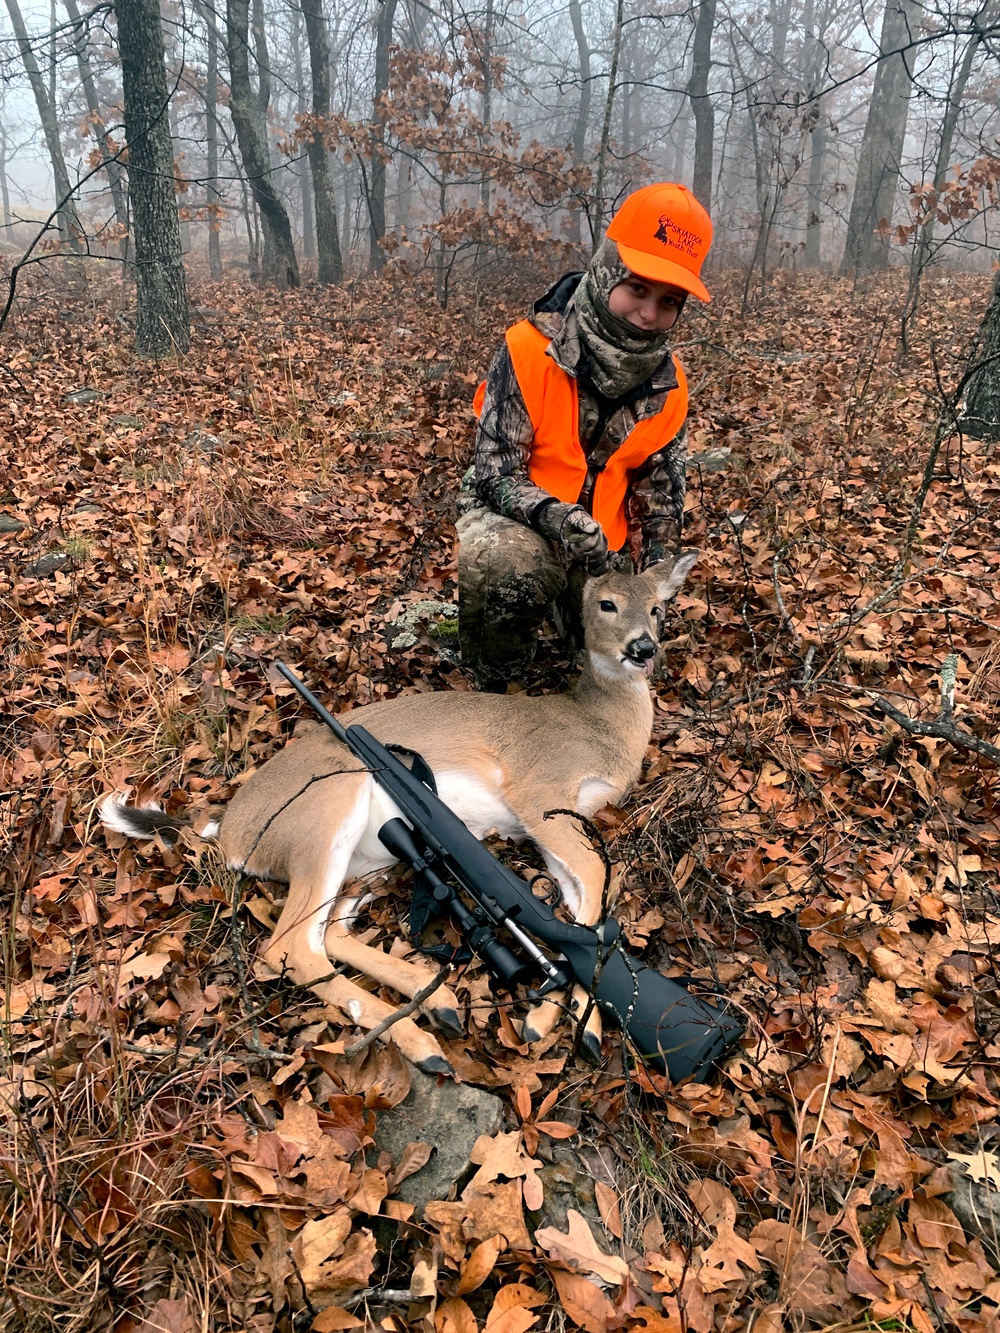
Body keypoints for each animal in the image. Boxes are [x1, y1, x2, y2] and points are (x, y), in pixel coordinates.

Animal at [101, 552, 698, 1076]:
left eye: (658, 607)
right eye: (606, 603)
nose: (643, 648)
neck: (600, 729)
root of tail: (227, 830)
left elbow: (586, 906)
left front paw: (574, 1022)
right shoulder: (541, 790)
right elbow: (592, 890)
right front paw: (556, 1017)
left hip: (376, 856)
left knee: (331, 932)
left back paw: (439, 1003)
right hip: (327, 809)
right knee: (290, 945)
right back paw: (424, 1043)